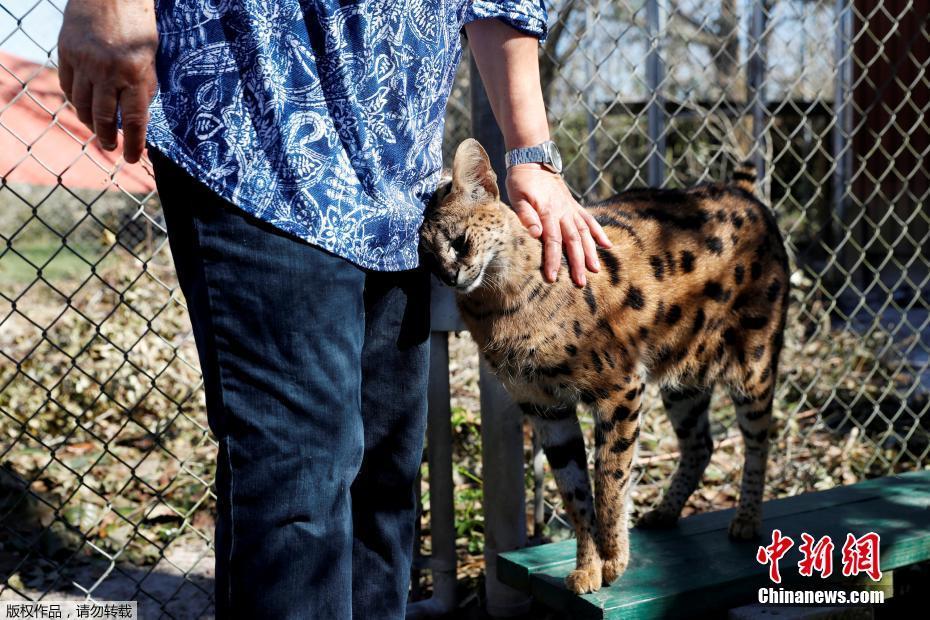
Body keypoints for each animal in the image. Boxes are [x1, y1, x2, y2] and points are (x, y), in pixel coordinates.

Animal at [420, 138, 792, 592]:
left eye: (459, 241)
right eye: (427, 259)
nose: (450, 277)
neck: (498, 301)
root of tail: (739, 190)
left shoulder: (620, 388)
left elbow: (610, 477)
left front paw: (614, 558)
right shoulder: (543, 407)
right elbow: (574, 491)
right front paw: (588, 566)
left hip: (754, 362)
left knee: (758, 441)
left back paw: (747, 519)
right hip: (683, 378)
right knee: (700, 444)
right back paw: (666, 511)